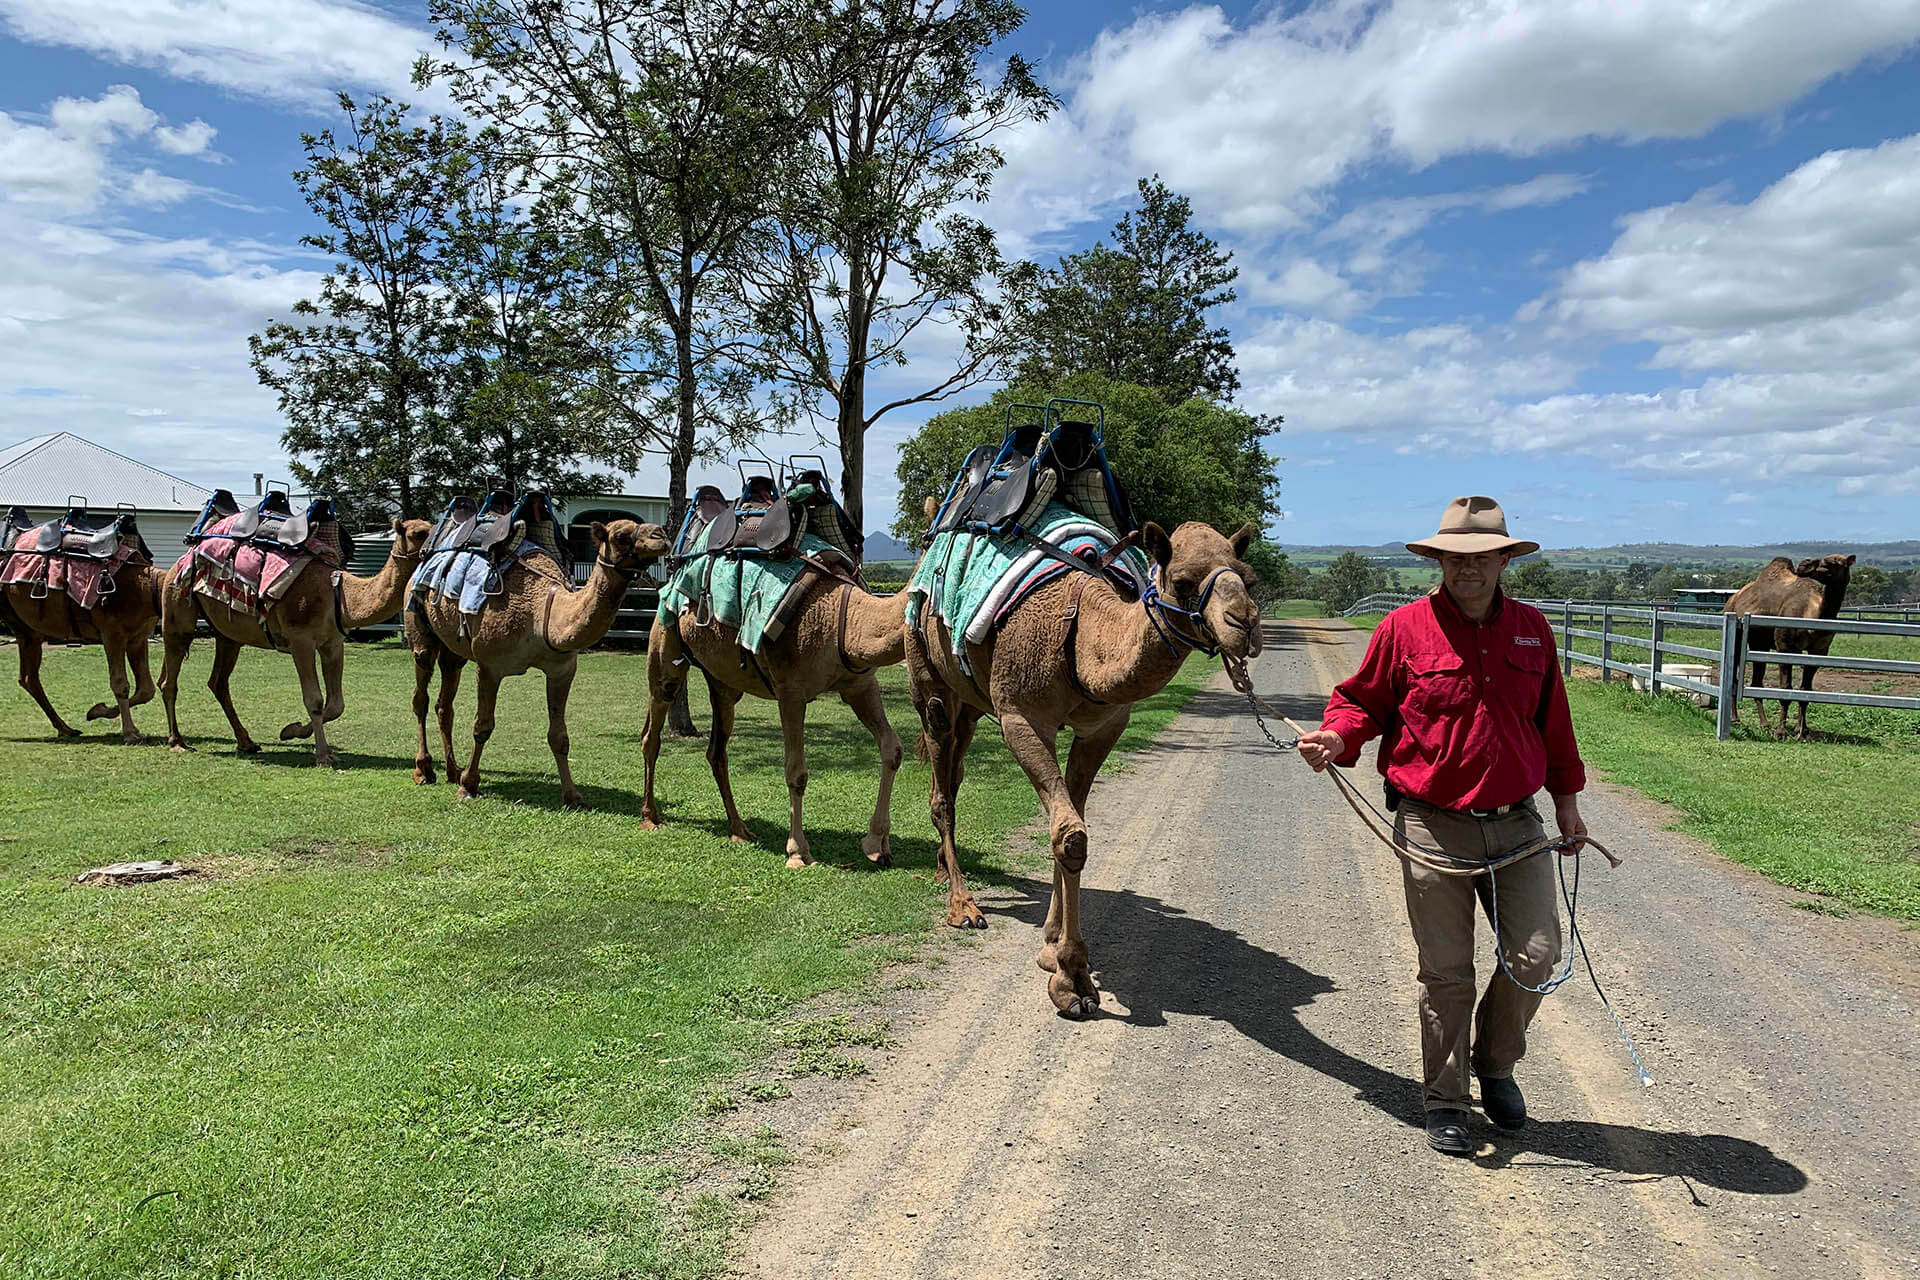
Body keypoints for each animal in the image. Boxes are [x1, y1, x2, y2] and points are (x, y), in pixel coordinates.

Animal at [408, 518, 672, 802]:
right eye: (621, 536)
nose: (661, 535)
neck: (541, 613)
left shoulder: (561, 669)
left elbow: (559, 736)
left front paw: (573, 795)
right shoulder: (489, 666)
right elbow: (482, 726)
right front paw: (468, 785)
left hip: (453, 651)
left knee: (444, 703)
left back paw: (452, 770)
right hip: (419, 625)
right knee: (421, 696)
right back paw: (424, 770)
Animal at [910, 514, 1267, 1013]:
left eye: (1248, 577)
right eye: (1181, 582)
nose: (1245, 623)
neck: (1080, 638)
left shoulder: (1104, 727)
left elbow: (1071, 821)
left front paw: (1051, 944)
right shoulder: (1022, 716)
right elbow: (1071, 835)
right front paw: (1072, 979)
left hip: (970, 704)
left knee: (952, 773)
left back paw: (945, 868)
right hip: (928, 677)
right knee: (941, 784)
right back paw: (963, 905)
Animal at [1720, 552, 1850, 740]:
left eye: (1832, 561)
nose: (1805, 563)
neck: (1811, 616)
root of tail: (1731, 600)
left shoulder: (1818, 651)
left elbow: (1805, 690)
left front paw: (1802, 730)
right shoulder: (1785, 648)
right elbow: (1785, 690)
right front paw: (1781, 732)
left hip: (1760, 644)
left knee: (1757, 681)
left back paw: (1764, 723)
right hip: (1739, 638)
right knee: (1737, 677)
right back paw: (1739, 720)